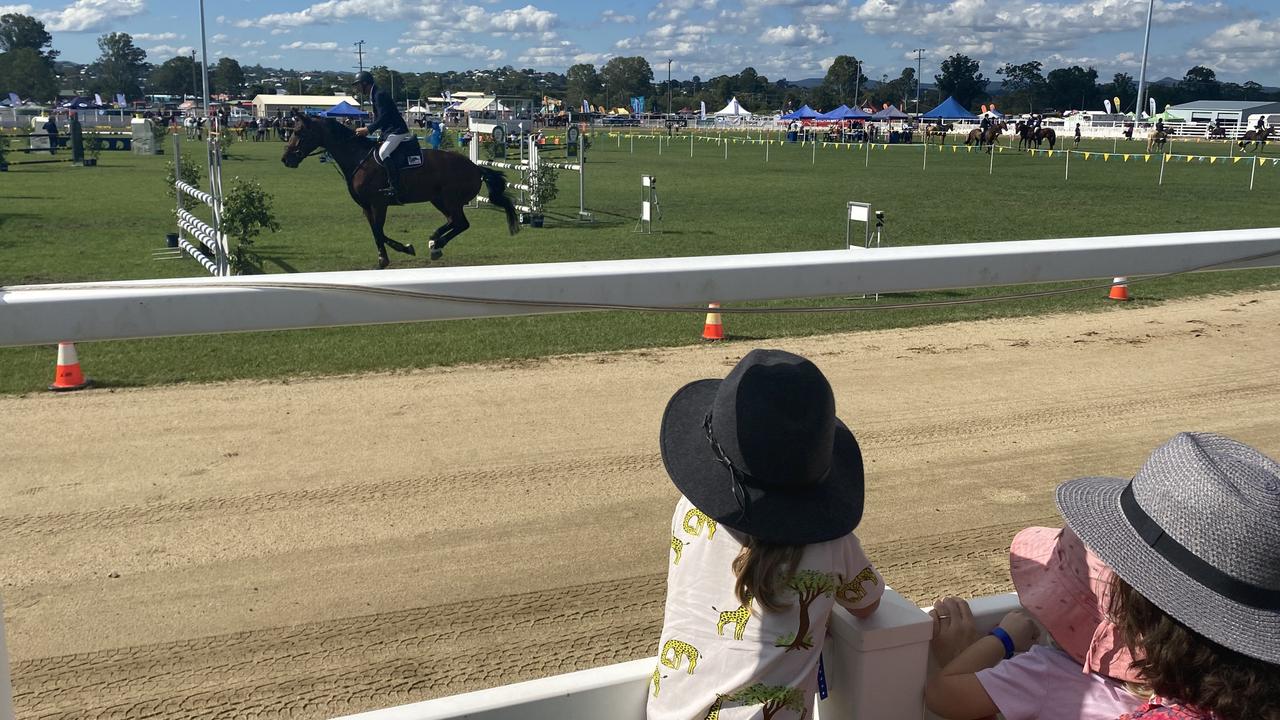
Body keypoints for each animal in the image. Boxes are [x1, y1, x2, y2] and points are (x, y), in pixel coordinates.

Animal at [281, 114, 519, 266]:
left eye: (300, 132)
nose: (286, 159)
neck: (358, 158)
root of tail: (475, 167)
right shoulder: (366, 206)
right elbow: (375, 232)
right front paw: (386, 256)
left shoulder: (379, 203)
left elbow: (379, 231)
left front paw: (400, 250)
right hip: (439, 199)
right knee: (456, 222)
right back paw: (435, 242)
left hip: (450, 199)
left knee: (461, 223)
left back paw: (436, 242)